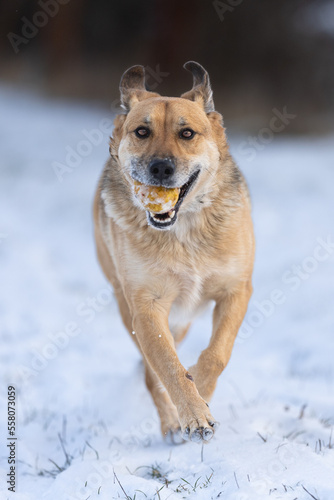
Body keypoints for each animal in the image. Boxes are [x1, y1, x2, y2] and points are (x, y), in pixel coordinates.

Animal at [92, 63, 254, 446]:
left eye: (187, 133)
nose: (161, 168)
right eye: (142, 131)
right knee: (151, 375)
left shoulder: (236, 290)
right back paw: (171, 425)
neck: (183, 231)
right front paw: (194, 415)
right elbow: (167, 366)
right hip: (128, 305)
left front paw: (201, 388)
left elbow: (217, 354)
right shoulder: (146, 308)